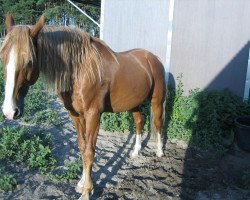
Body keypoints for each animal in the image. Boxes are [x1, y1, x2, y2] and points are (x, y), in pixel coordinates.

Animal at [1, 13, 166, 199]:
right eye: (2, 56)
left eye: (29, 61)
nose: (9, 111)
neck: (80, 70)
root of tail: (153, 58)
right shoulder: (75, 115)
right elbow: (82, 146)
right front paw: (82, 183)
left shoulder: (93, 114)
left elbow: (89, 150)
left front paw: (87, 191)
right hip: (134, 103)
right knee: (139, 122)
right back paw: (136, 151)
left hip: (157, 100)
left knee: (158, 123)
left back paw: (159, 152)